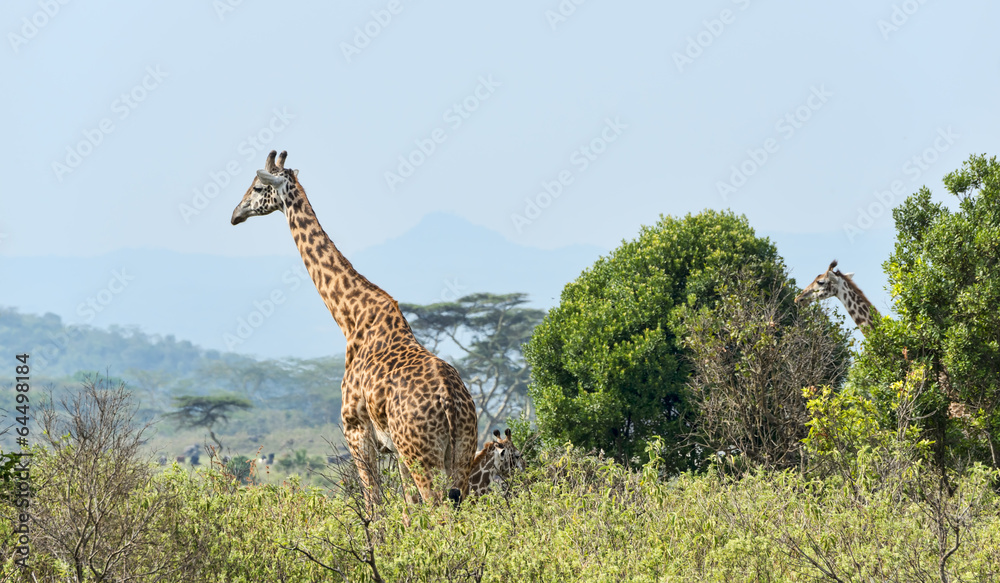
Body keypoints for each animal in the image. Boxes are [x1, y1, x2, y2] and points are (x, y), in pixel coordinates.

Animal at [230, 151, 478, 506]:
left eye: (257, 186)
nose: (235, 214)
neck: (351, 318)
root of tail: (451, 406)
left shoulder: (355, 428)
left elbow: (375, 504)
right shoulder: (393, 447)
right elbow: (406, 508)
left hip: (423, 455)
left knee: (436, 508)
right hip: (460, 454)